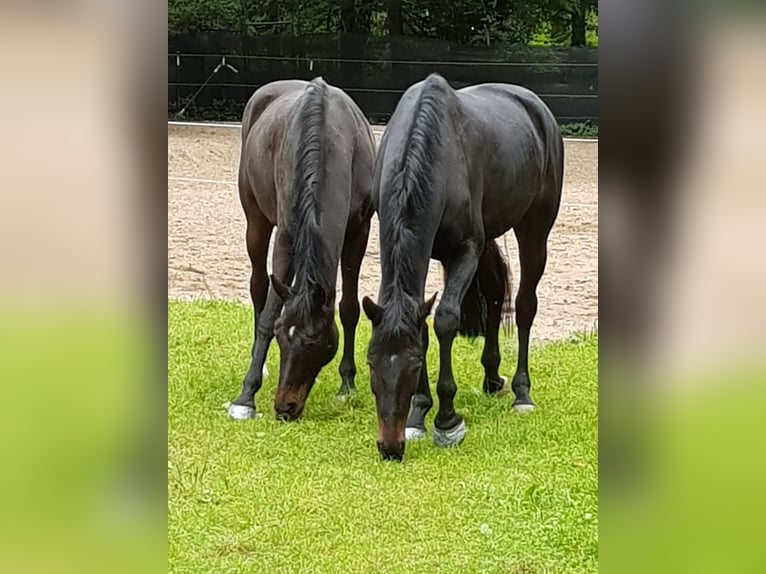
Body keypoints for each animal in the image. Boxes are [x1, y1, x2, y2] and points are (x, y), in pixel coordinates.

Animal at [228, 77, 378, 424]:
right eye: (282, 335)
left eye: (315, 342)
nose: (285, 407)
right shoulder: (285, 237)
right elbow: (270, 312)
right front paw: (246, 396)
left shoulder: (358, 232)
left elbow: (349, 308)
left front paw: (347, 384)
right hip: (256, 223)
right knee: (259, 286)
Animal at [364, 72, 568, 462]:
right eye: (371, 362)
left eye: (414, 365)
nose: (389, 446)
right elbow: (424, 325)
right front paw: (418, 414)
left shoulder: (465, 249)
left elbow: (445, 321)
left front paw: (446, 420)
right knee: (494, 293)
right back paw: (492, 376)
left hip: (534, 228)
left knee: (524, 306)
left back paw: (521, 392)